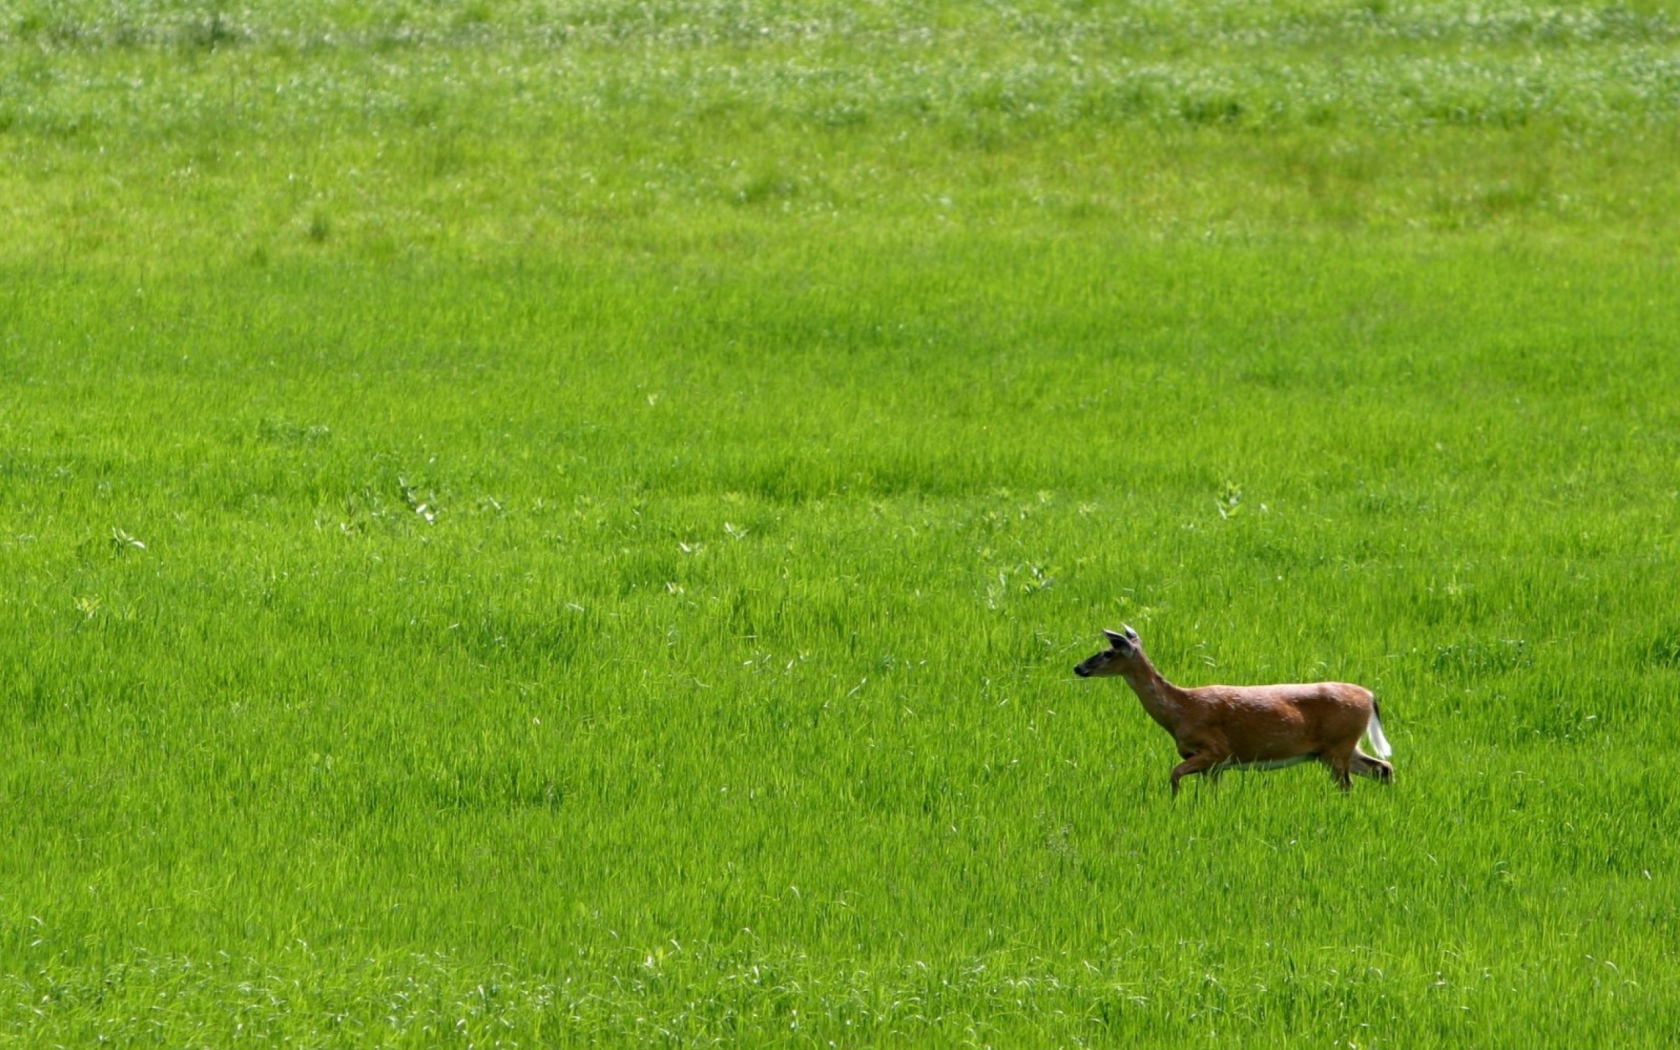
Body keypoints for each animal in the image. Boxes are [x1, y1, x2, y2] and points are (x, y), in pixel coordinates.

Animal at [1075, 621, 1391, 792]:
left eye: (1107, 653)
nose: (1078, 667)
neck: (1179, 711)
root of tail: (1369, 695)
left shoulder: (1215, 750)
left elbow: (1174, 775)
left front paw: (1174, 806)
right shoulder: (1215, 766)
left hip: (1338, 745)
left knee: (1351, 783)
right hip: (1340, 747)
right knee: (1383, 767)